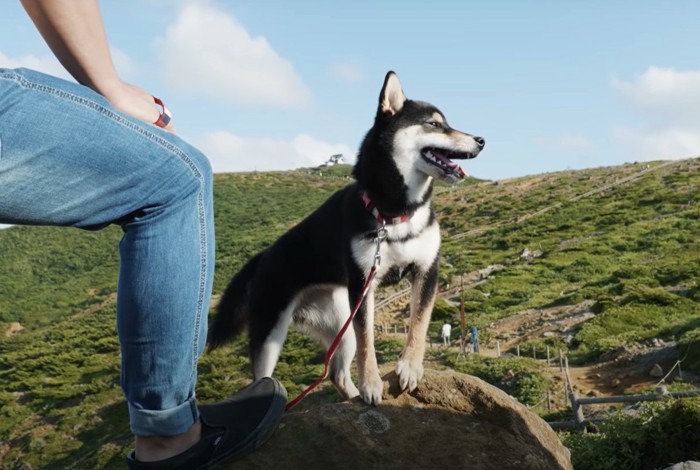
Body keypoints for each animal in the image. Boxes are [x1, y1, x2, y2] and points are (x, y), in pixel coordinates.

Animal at [205, 71, 484, 406]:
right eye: (434, 124)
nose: (481, 140)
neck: (394, 212)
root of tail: (262, 256)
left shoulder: (426, 271)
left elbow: (418, 324)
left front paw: (409, 367)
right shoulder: (364, 284)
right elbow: (368, 344)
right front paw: (372, 384)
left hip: (341, 323)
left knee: (336, 373)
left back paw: (350, 395)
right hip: (271, 333)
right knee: (263, 378)